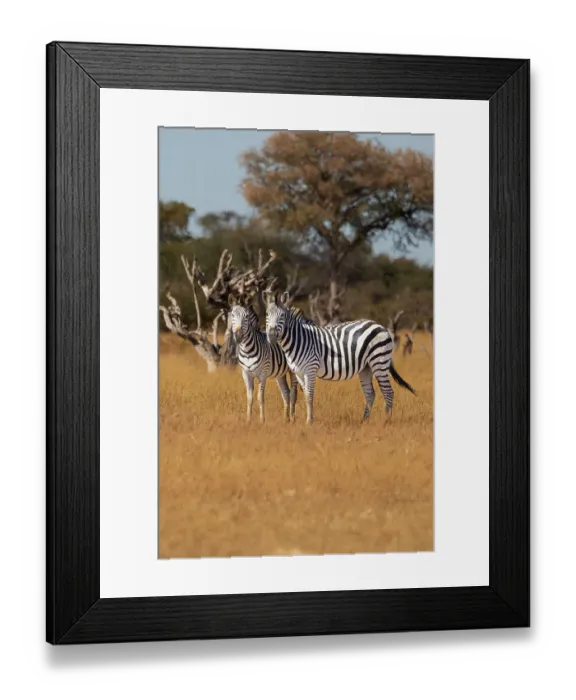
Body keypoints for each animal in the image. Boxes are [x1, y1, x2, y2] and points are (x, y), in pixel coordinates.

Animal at [264, 292, 417, 425]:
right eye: (267, 315)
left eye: (282, 316)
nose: (271, 336)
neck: (299, 339)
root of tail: (380, 326)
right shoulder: (299, 372)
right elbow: (305, 395)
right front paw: (307, 420)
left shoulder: (310, 369)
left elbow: (310, 395)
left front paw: (309, 422)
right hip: (366, 367)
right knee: (370, 394)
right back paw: (364, 421)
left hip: (379, 361)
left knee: (388, 392)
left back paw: (386, 421)